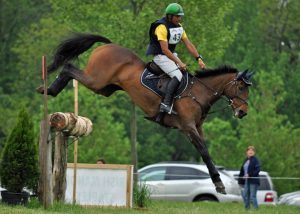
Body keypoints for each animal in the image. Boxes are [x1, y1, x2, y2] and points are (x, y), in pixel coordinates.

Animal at [38, 33, 253, 194]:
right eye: (241, 87)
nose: (243, 112)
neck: (198, 92)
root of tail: (109, 45)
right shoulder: (188, 127)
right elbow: (205, 152)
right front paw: (219, 184)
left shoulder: (197, 127)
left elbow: (205, 152)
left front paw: (218, 181)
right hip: (96, 80)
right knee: (69, 67)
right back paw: (49, 89)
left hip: (106, 88)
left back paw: (49, 89)